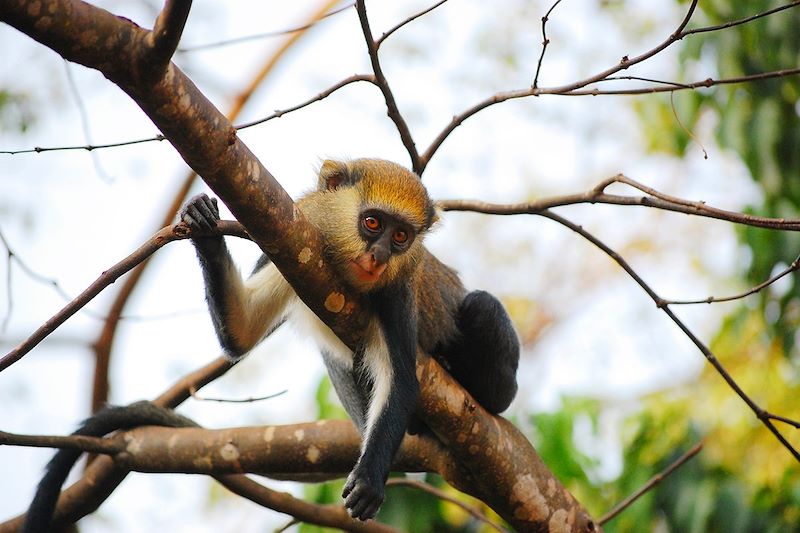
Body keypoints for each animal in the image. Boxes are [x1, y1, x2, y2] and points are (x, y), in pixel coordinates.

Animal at [179, 158, 520, 520]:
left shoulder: (396, 291)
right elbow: (241, 332)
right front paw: (203, 224)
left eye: (401, 236)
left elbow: (401, 380)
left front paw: (369, 479)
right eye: (372, 222)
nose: (379, 256)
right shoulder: (288, 247)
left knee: (483, 306)